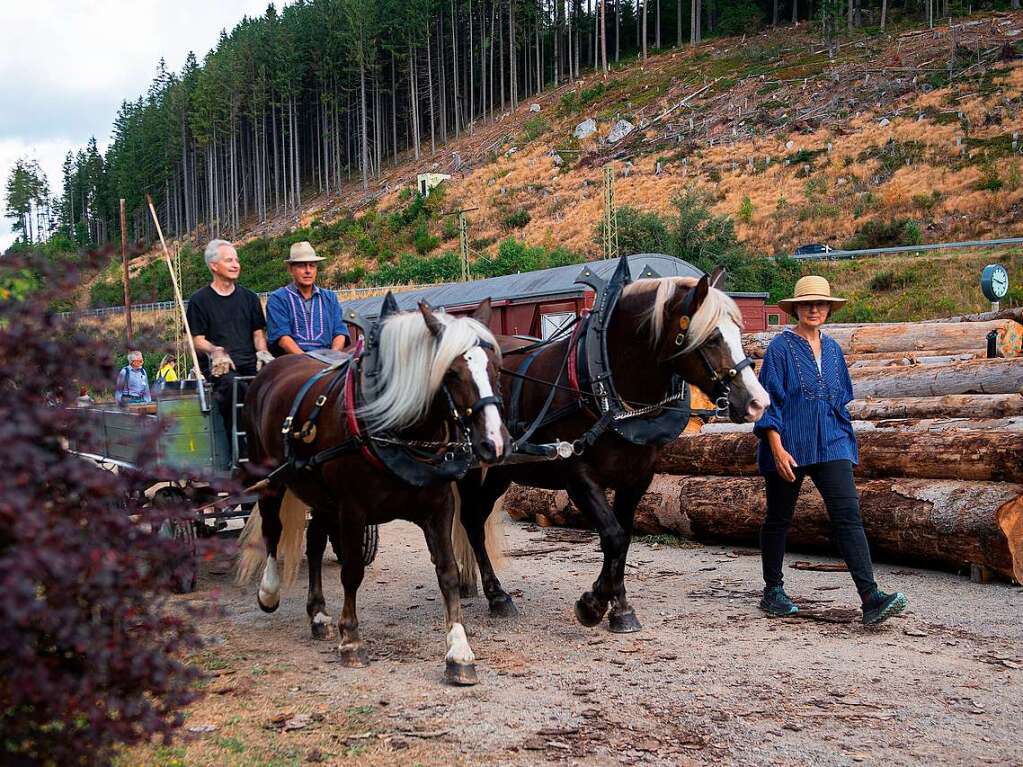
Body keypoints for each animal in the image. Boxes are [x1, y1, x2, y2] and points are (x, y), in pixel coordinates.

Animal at [240, 302, 511, 687]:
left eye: (496, 368)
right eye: (453, 373)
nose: (495, 443)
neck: (399, 432)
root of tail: (269, 371)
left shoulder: (439, 508)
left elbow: (447, 572)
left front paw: (459, 651)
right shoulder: (353, 511)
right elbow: (352, 571)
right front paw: (351, 640)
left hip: (322, 497)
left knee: (314, 541)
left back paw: (318, 614)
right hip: (271, 479)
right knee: (272, 530)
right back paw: (270, 591)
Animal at [456, 261, 769, 634]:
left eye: (738, 331)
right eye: (711, 338)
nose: (757, 402)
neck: (607, 391)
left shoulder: (637, 479)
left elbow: (624, 539)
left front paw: (619, 609)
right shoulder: (578, 477)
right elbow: (613, 536)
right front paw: (592, 605)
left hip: (500, 474)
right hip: (471, 468)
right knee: (471, 519)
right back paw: (495, 595)